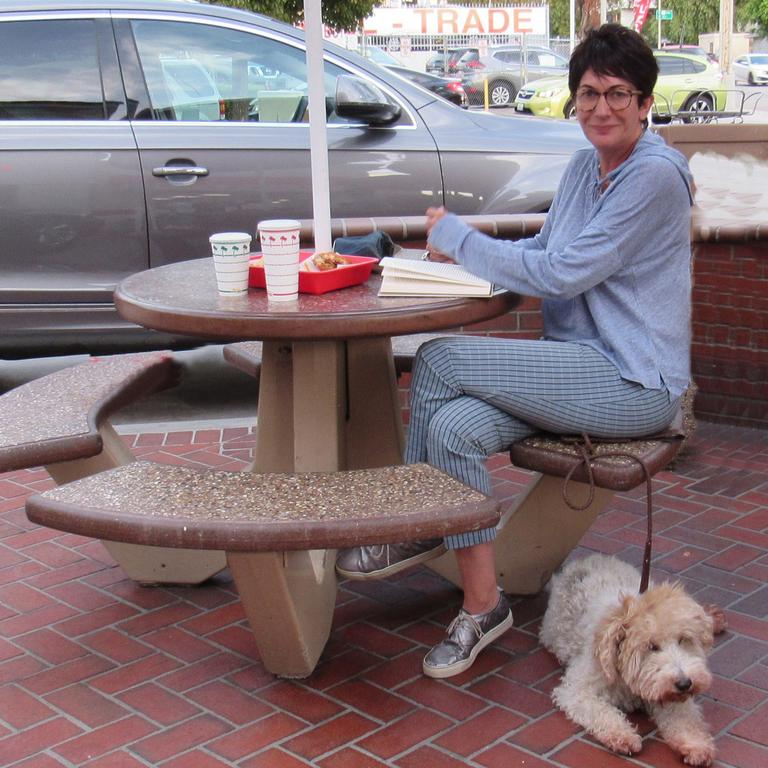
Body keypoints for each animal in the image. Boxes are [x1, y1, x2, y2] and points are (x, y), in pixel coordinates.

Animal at [540, 556, 728, 764]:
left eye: (683, 639)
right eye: (652, 646)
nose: (685, 684)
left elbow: (685, 719)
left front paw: (696, 744)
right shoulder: (577, 690)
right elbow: (601, 712)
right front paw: (622, 735)